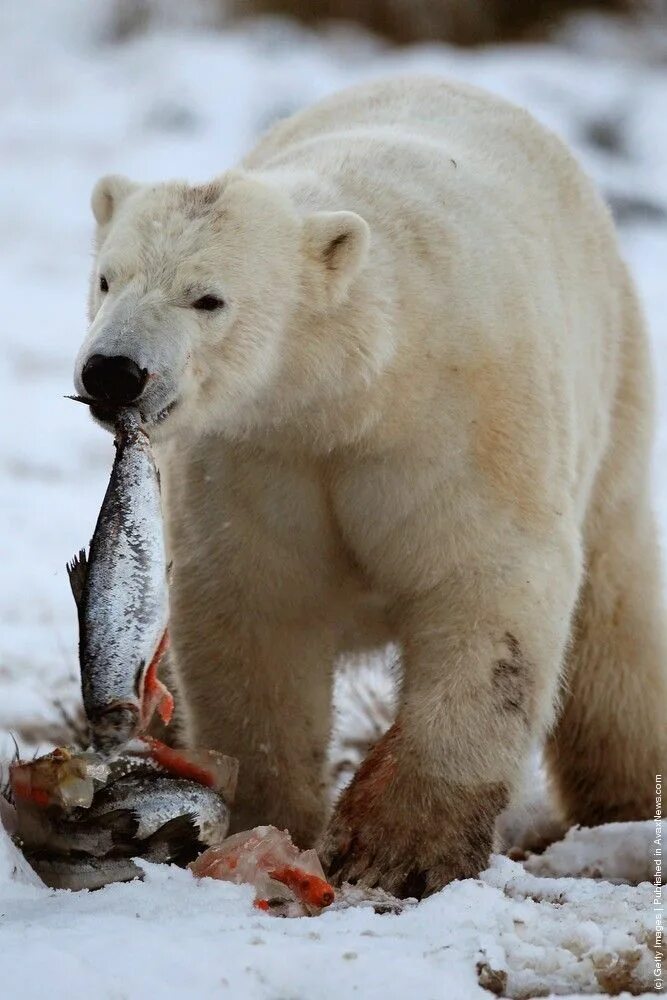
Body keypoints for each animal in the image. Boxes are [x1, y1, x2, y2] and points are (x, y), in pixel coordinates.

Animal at [74, 78, 667, 900]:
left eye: (207, 298)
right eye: (107, 277)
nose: (113, 372)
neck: (356, 387)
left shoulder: (462, 426)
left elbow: (487, 592)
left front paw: (397, 850)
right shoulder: (258, 456)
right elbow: (254, 612)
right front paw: (266, 824)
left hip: (615, 390)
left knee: (613, 628)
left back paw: (626, 805)